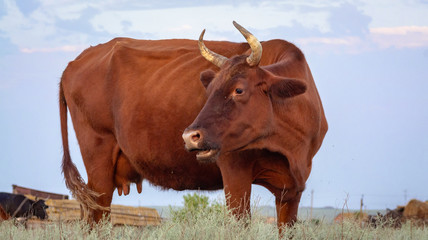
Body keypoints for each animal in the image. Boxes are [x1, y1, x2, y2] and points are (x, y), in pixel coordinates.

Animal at [59, 21, 328, 229]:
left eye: (239, 90)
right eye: (209, 89)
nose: (190, 136)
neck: (290, 149)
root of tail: (76, 61)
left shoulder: (292, 190)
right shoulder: (235, 173)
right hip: (98, 163)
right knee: (96, 220)